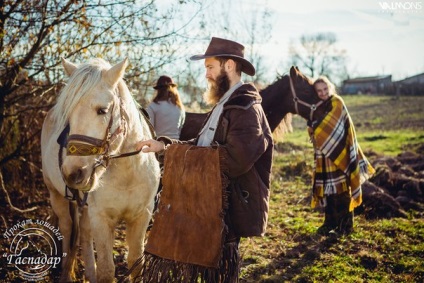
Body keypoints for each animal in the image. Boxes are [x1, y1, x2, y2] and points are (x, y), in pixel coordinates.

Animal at [40, 57, 160, 282]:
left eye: (102, 111)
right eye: (68, 115)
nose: (72, 173)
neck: (127, 173)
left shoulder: (141, 216)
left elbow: (135, 262)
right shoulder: (101, 218)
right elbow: (106, 269)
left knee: (84, 235)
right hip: (57, 196)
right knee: (68, 231)